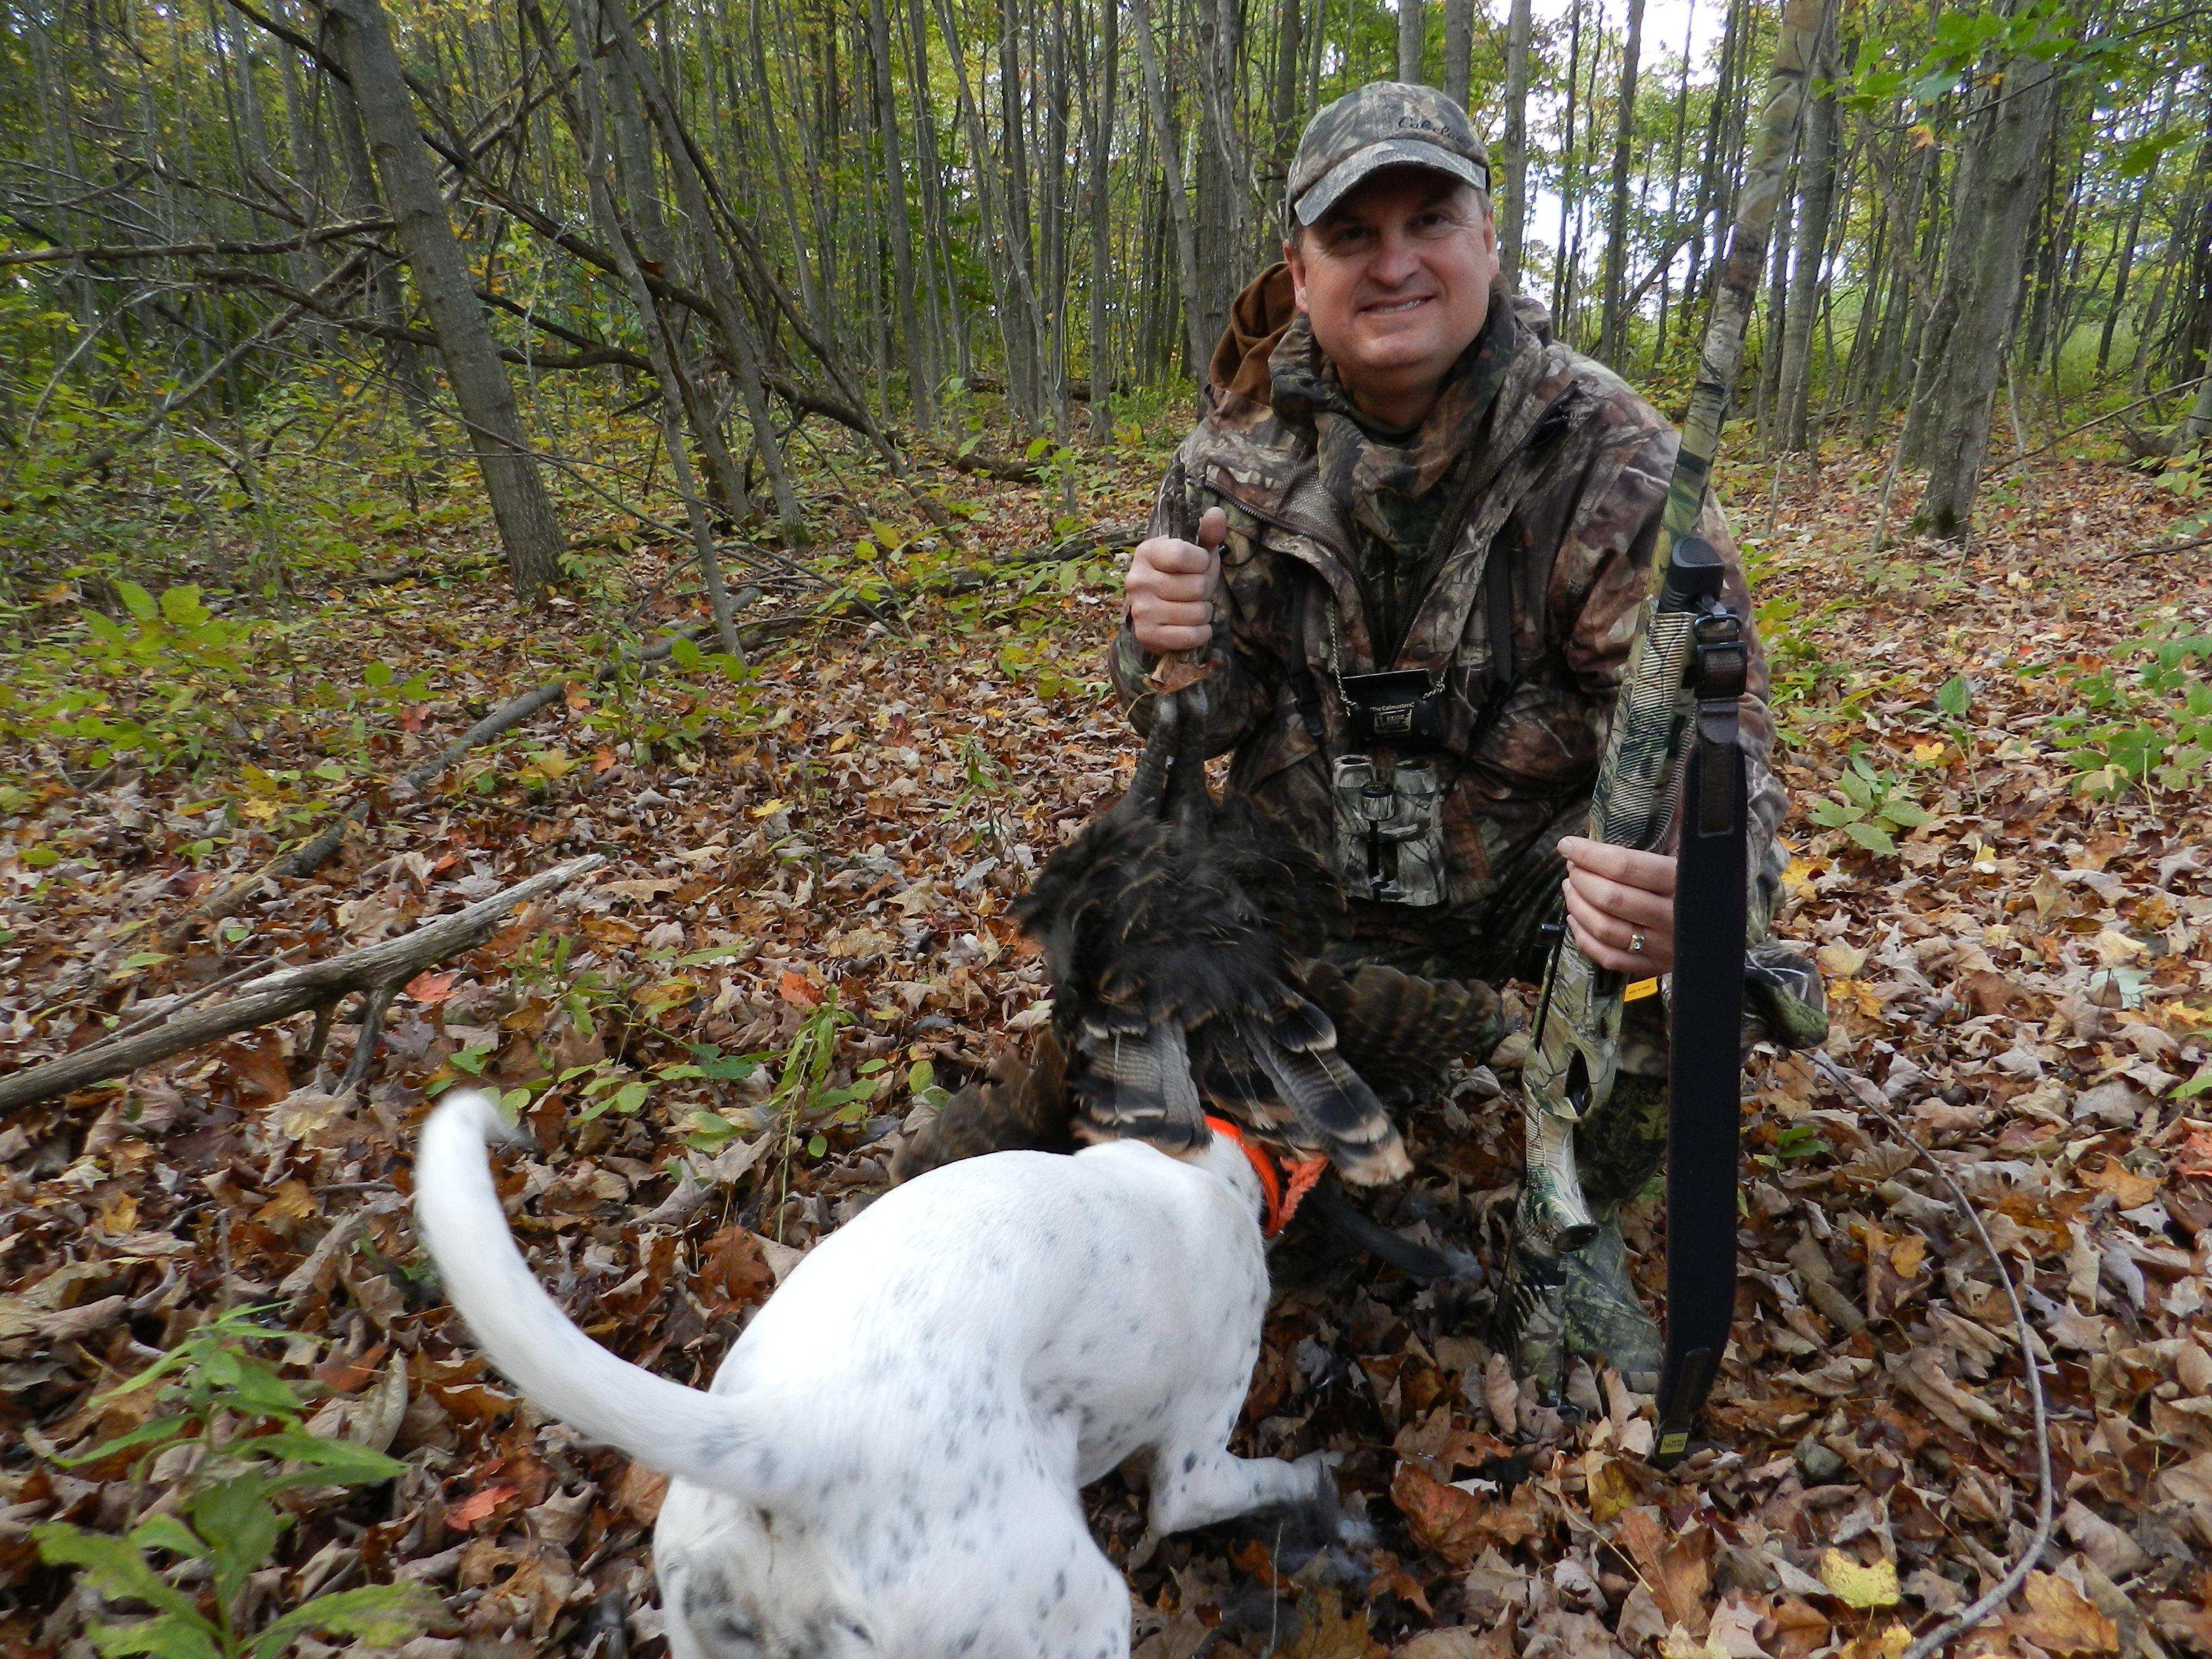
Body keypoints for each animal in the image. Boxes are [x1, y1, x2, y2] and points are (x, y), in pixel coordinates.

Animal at [411, 1093, 1327, 1659]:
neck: (1191, 1168)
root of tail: (795, 1436)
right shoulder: (1197, 1464)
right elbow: (1248, 1482)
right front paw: (1319, 1479)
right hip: (1070, 1609)